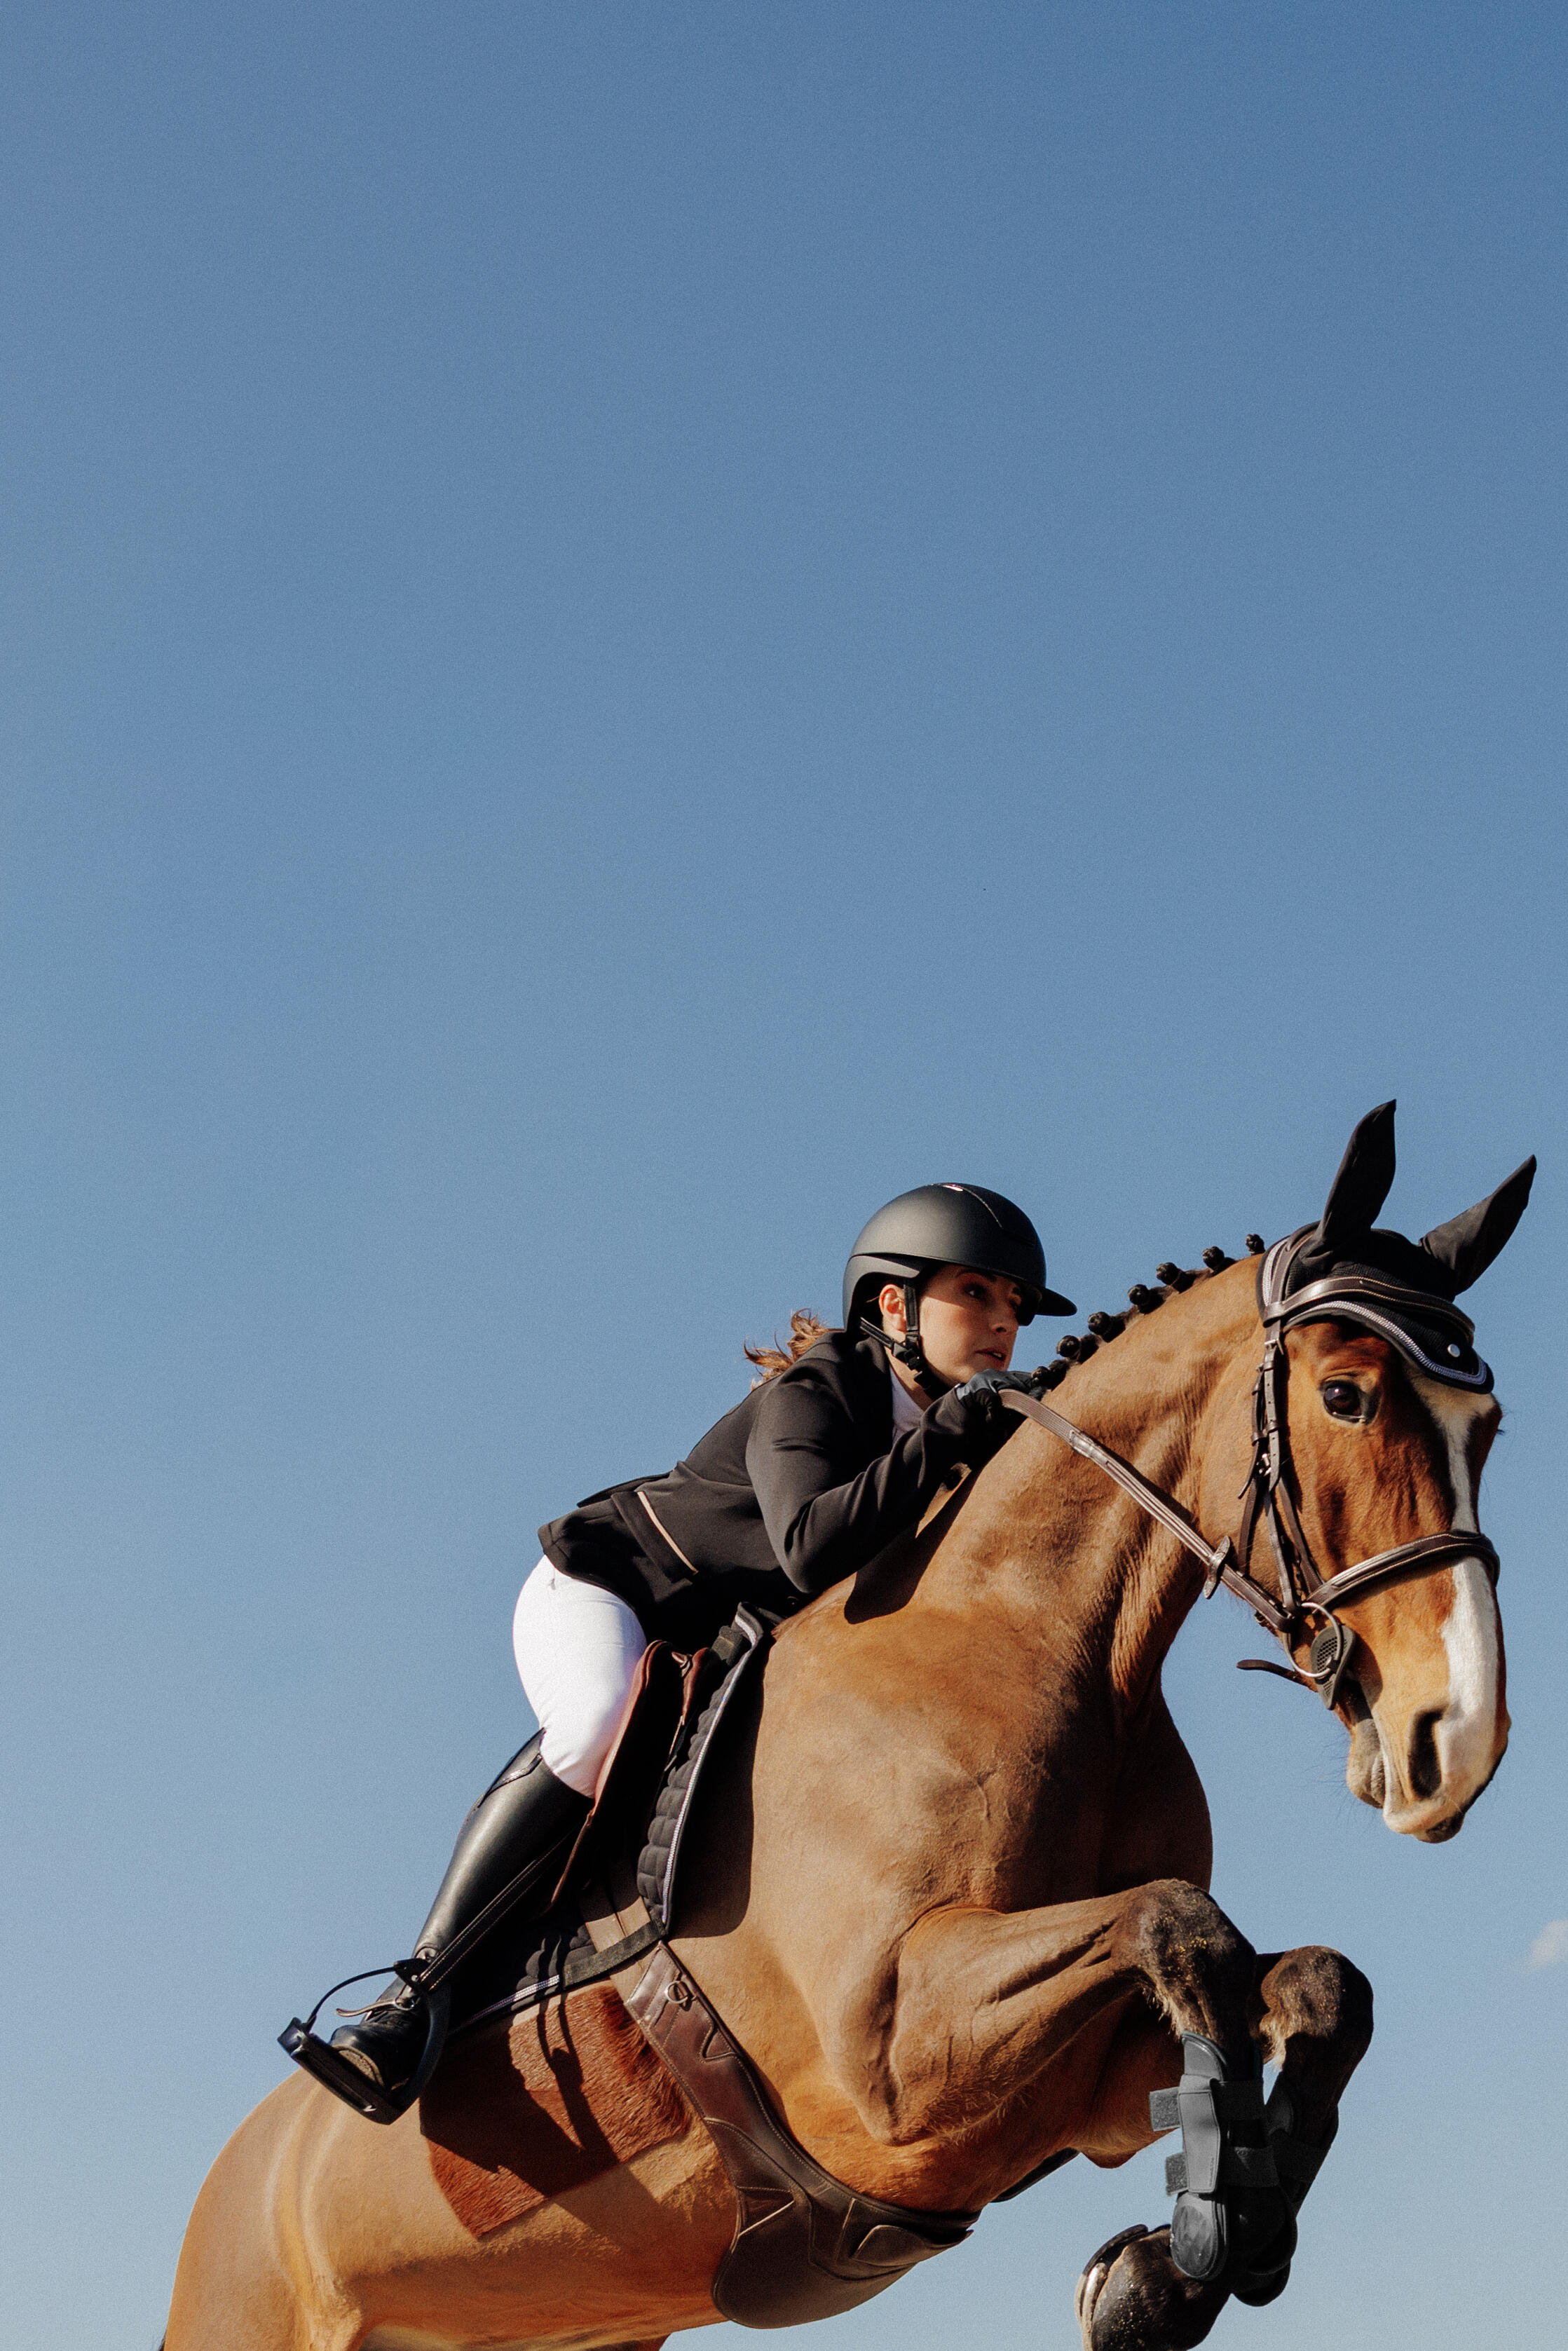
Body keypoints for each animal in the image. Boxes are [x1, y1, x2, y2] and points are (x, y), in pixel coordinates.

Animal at [163, 1104, 1532, 2351]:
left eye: (1491, 1425)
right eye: (1345, 1393)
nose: (1453, 1737)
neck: (1031, 1637)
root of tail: (235, 2176)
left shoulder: (1061, 2095)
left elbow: (1313, 1981)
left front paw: (1172, 2264)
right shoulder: (891, 2065)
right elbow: (1176, 1922)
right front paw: (1180, 2254)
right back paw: (379, 2040)